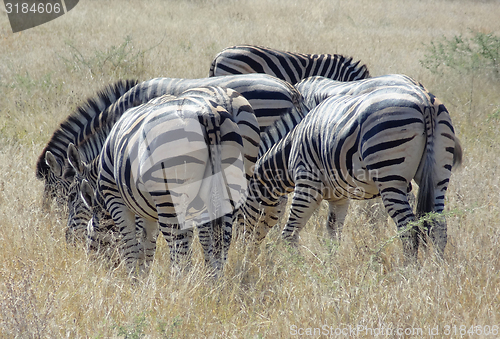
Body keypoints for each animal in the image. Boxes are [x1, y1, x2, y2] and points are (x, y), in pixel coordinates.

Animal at [71, 87, 262, 276]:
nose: (93, 271)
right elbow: (147, 245)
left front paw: (132, 278)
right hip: (230, 185)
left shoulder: (117, 201)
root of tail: (209, 112)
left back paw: (179, 282)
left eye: (89, 234)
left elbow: (131, 245)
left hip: (168, 195)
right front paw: (142, 277)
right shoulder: (148, 210)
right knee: (220, 241)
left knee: (180, 249)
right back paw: (213, 279)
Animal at [240, 83, 462, 262]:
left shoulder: (307, 184)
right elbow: (333, 233)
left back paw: (409, 271)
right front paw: (330, 265)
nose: (244, 253)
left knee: (409, 227)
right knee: (439, 225)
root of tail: (424, 101)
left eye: (239, 211)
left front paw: (297, 267)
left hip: (389, 175)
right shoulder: (338, 197)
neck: (290, 149)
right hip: (438, 174)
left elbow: (289, 233)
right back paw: (436, 269)